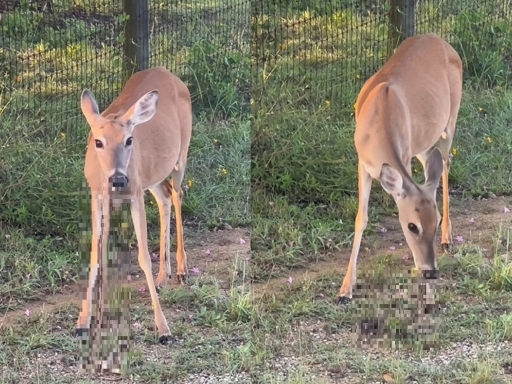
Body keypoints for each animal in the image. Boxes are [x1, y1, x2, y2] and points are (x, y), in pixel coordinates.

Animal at [73, 64, 190, 344]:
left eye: (128, 140)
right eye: (98, 141)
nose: (118, 178)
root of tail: (168, 72)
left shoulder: (135, 192)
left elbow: (144, 256)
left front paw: (163, 328)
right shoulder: (97, 195)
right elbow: (96, 253)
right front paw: (83, 322)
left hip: (180, 156)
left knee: (178, 194)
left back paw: (182, 269)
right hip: (153, 175)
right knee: (165, 197)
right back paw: (163, 275)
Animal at [338, 33, 462, 304]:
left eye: (435, 220)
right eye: (412, 226)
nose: (430, 272)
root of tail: (441, 40)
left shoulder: (403, 157)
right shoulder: (363, 163)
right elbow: (361, 218)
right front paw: (345, 290)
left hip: (451, 117)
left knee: (446, 160)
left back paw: (447, 239)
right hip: (422, 141)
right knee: (434, 163)